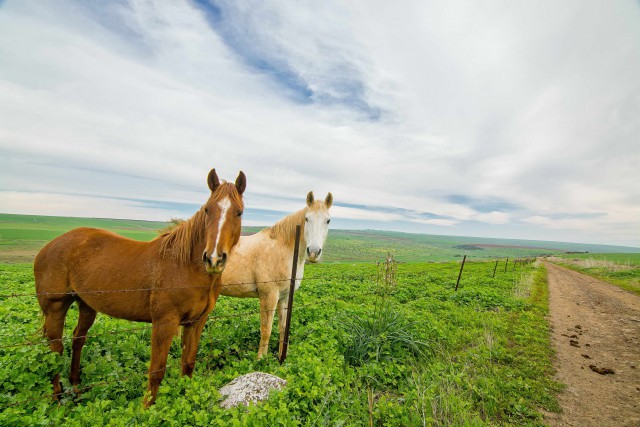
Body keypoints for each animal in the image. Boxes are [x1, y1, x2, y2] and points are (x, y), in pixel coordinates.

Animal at [33, 168, 246, 408]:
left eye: (238, 213)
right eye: (208, 209)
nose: (213, 259)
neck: (185, 266)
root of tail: (49, 247)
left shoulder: (196, 322)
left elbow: (188, 363)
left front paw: (184, 397)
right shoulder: (164, 322)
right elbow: (157, 370)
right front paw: (147, 408)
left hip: (86, 305)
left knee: (78, 339)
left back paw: (77, 389)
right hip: (56, 307)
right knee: (55, 350)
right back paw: (56, 398)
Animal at [220, 192, 332, 360]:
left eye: (328, 220)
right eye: (307, 218)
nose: (313, 252)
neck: (283, 248)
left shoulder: (284, 297)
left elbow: (283, 327)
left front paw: (281, 357)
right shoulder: (269, 295)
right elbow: (266, 330)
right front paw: (260, 360)